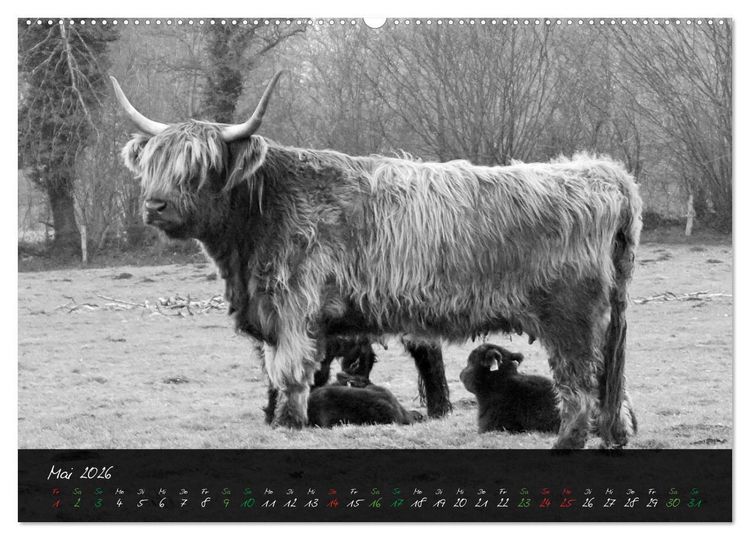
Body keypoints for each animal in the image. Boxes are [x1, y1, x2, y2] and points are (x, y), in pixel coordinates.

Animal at [112, 71, 642, 449]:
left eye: (198, 168)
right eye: (154, 165)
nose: (155, 205)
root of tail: (603, 172)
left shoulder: (292, 309)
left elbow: (289, 375)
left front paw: (288, 426)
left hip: (570, 319)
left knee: (580, 382)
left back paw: (569, 441)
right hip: (607, 319)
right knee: (610, 382)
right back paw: (614, 435)